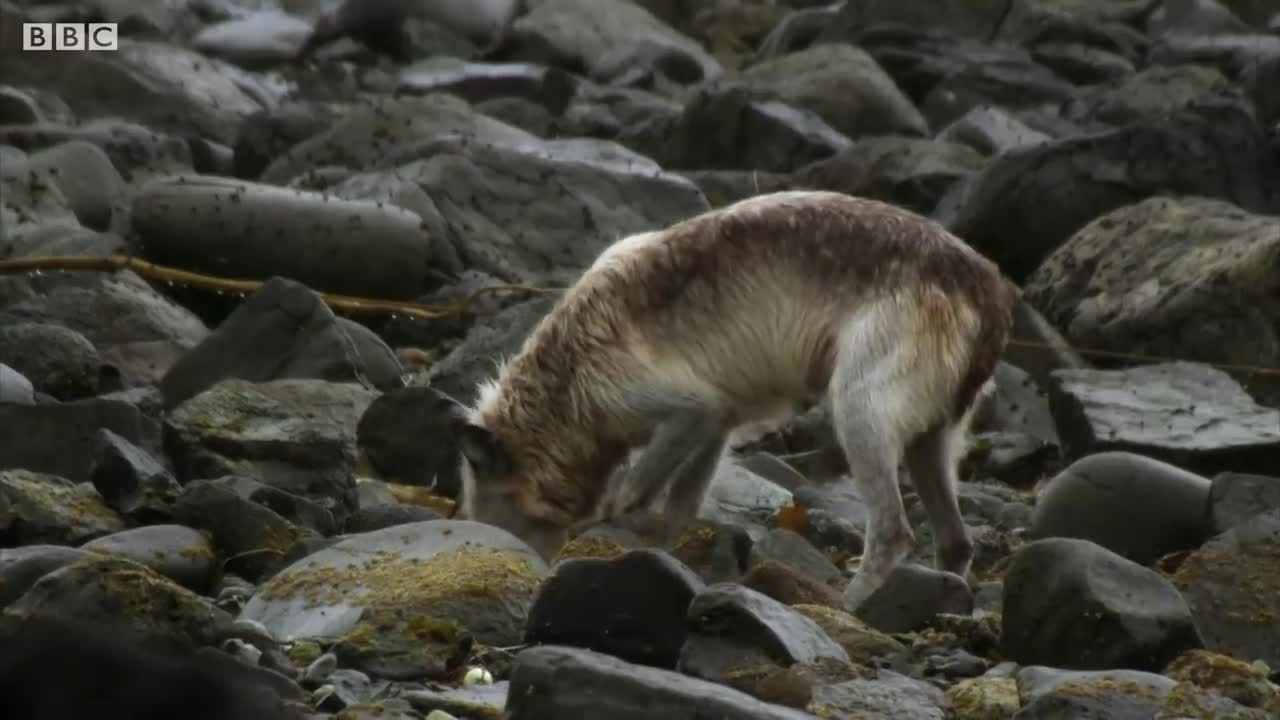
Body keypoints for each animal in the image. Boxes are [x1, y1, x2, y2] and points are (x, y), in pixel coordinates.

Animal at [450, 188, 1018, 607]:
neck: (566, 377)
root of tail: (990, 292)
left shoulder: (687, 410)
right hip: (929, 441)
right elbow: (679, 503)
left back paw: (845, 608)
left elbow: (629, 496)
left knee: (892, 532)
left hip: (861, 412)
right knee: (954, 540)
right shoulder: (715, 423)